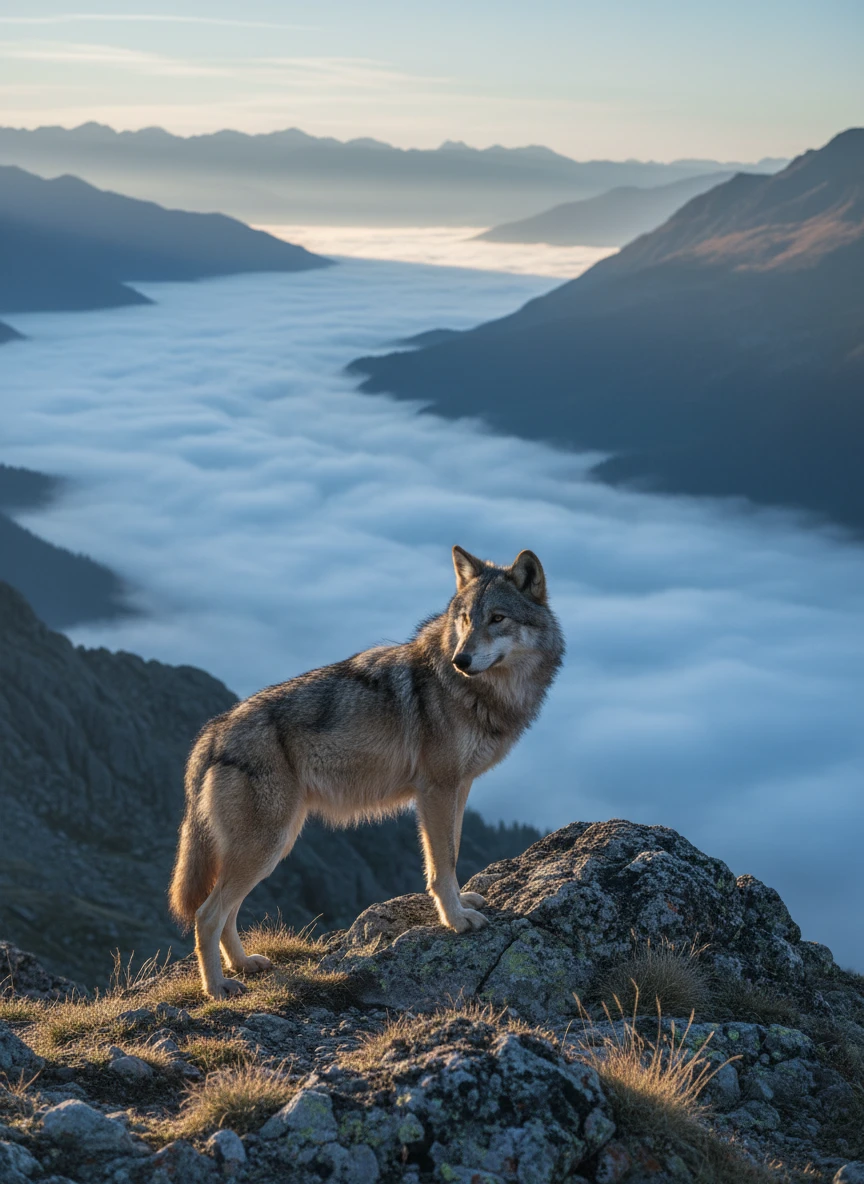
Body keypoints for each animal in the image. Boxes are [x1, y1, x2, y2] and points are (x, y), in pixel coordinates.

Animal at [169, 545, 564, 998]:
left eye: (497, 618)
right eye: (465, 619)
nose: (460, 660)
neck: (479, 693)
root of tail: (212, 734)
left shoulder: (459, 789)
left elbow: (452, 851)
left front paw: (463, 902)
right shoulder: (437, 790)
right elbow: (442, 864)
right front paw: (456, 919)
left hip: (272, 845)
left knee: (227, 913)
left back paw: (243, 964)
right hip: (266, 846)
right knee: (207, 914)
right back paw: (217, 988)